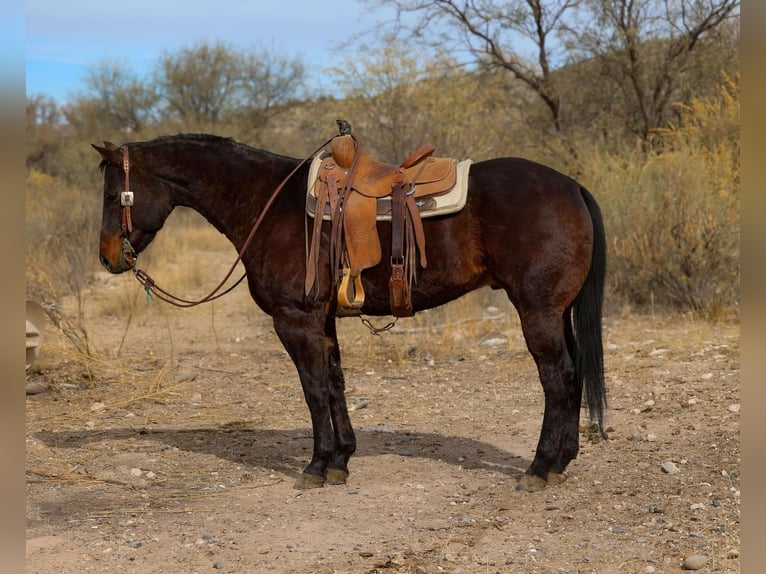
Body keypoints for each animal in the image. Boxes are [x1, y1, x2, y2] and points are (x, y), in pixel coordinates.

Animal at [93, 132, 607, 492]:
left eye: (112, 194)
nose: (108, 257)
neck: (267, 203)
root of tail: (573, 186)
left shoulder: (295, 321)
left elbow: (314, 391)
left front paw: (317, 466)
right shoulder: (322, 322)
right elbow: (335, 385)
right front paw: (340, 460)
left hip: (537, 312)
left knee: (558, 379)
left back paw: (540, 468)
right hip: (557, 312)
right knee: (574, 377)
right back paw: (562, 461)